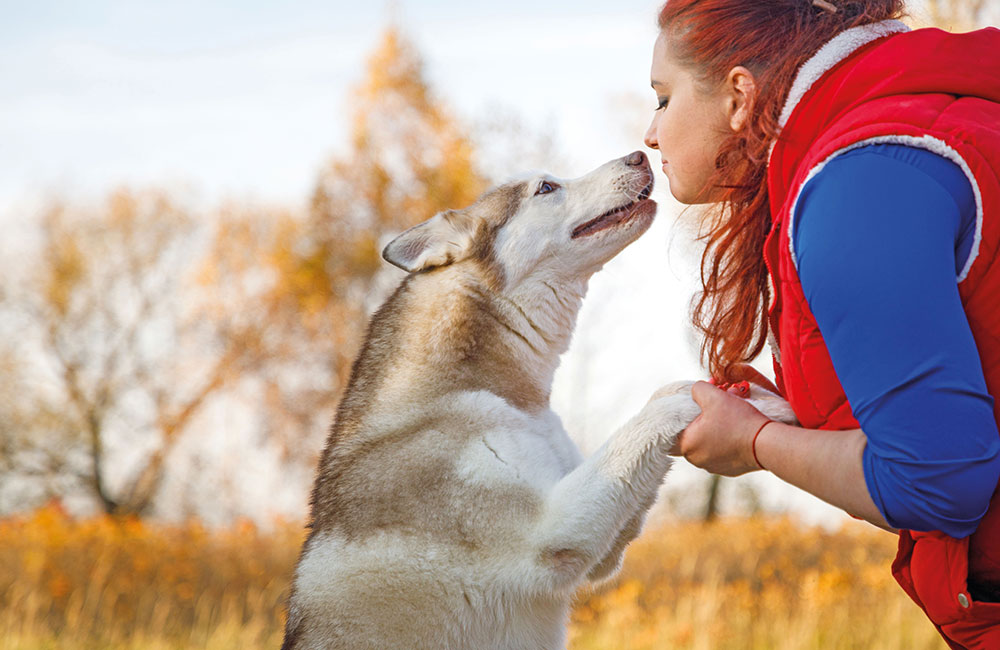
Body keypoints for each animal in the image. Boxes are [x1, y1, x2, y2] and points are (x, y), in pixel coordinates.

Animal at [284, 152, 796, 648]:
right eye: (547, 187)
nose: (640, 156)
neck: (514, 400)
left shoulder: (601, 549)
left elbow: (655, 406)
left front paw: (751, 399)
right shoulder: (550, 531)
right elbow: (651, 415)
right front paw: (749, 408)